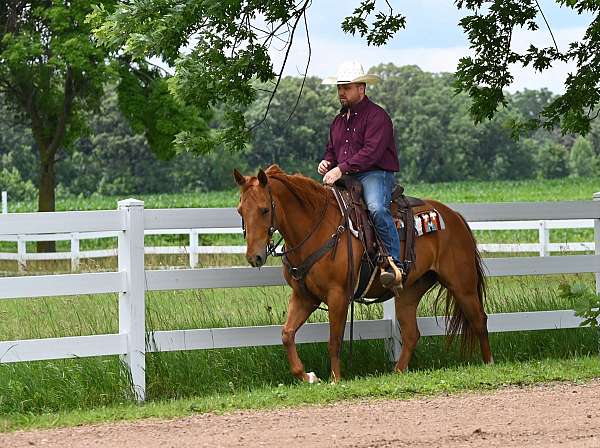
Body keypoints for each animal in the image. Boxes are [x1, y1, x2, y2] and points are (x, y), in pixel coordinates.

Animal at [232, 164, 490, 382]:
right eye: (240, 210)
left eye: (265, 209)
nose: (254, 257)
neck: (316, 228)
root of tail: (454, 216)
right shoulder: (305, 297)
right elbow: (287, 334)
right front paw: (308, 376)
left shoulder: (338, 296)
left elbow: (334, 341)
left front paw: (335, 380)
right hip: (408, 292)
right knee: (411, 334)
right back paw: (397, 372)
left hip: (462, 284)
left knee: (479, 320)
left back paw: (488, 363)